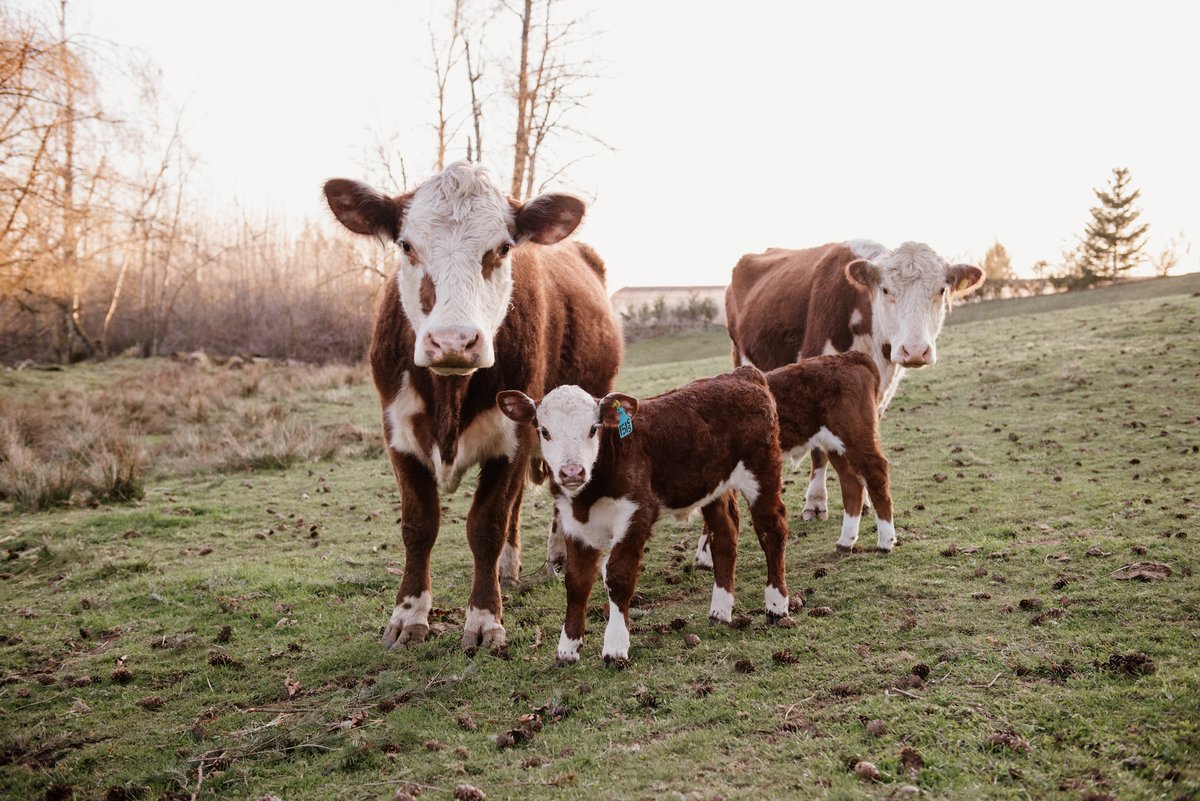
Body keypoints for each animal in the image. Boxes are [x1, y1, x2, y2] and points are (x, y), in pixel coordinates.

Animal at [323, 161, 622, 652]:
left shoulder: (514, 437)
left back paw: (558, 556)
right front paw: (408, 615)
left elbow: (487, 525)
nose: (453, 341)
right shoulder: (398, 436)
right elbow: (418, 526)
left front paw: (483, 620)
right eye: (406, 245)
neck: (450, 397)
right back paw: (509, 568)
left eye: (502, 248)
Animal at [497, 365, 791, 666]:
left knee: (771, 530)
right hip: (712, 486)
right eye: (544, 431)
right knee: (725, 536)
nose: (571, 472)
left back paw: (776, 606)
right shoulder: (573, 525)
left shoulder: (635, 514)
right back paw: (720, 612)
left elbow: (618, 576)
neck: (588, 496)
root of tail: (743, 374)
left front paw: (615, 648)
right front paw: (567, 649)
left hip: (762, 470)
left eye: (593, 429)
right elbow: (577, 582)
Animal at [695, 353, 894, 567]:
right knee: (851, 482)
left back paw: (885, 542)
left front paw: (705, 557)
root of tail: (848, 357)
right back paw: (845, 542)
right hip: (834, 444)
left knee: (876, 471)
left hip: (855, 435)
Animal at [724, 240, 983, 523]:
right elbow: (819, 451)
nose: (915, 351)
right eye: (885, 289)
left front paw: (867, 499)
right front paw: (815, 503)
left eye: (941, 289)